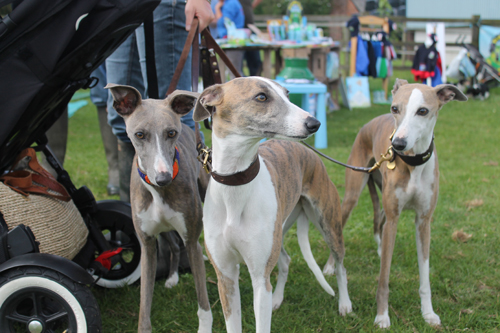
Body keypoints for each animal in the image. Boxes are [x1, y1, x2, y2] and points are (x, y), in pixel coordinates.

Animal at [106, 83, 212, 332]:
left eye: (171, 133)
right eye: (139, 134)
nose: (163, 179)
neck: (158, 193)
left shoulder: (191, 241)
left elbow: (203, 301)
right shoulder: (146, 244)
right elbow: (144, 304)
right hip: (162, 230)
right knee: (172, 245)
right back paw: (172, 277)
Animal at [191, 77, 352, 332]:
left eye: (287, 94)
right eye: (261, 97)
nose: (314, 123)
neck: (235, 186)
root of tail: (306, 151)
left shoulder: (259, 278)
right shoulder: (225, 276)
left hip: (328, 224)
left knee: (341, 267)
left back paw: (345, 304)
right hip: (281, 230)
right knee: (285, 260)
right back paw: (277, 298)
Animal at [322, 79, 466, 328]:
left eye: (423, 111)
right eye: (395, 108)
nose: (397, 144)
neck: (413, 163)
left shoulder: (423, 221)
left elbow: (424, 276)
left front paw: (428, 313)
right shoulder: (395, 218)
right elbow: (384, 278)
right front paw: (382, 316)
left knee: (379, 217)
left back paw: (380, 248)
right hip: (352, 195)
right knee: (341, 229)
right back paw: (331, 265)